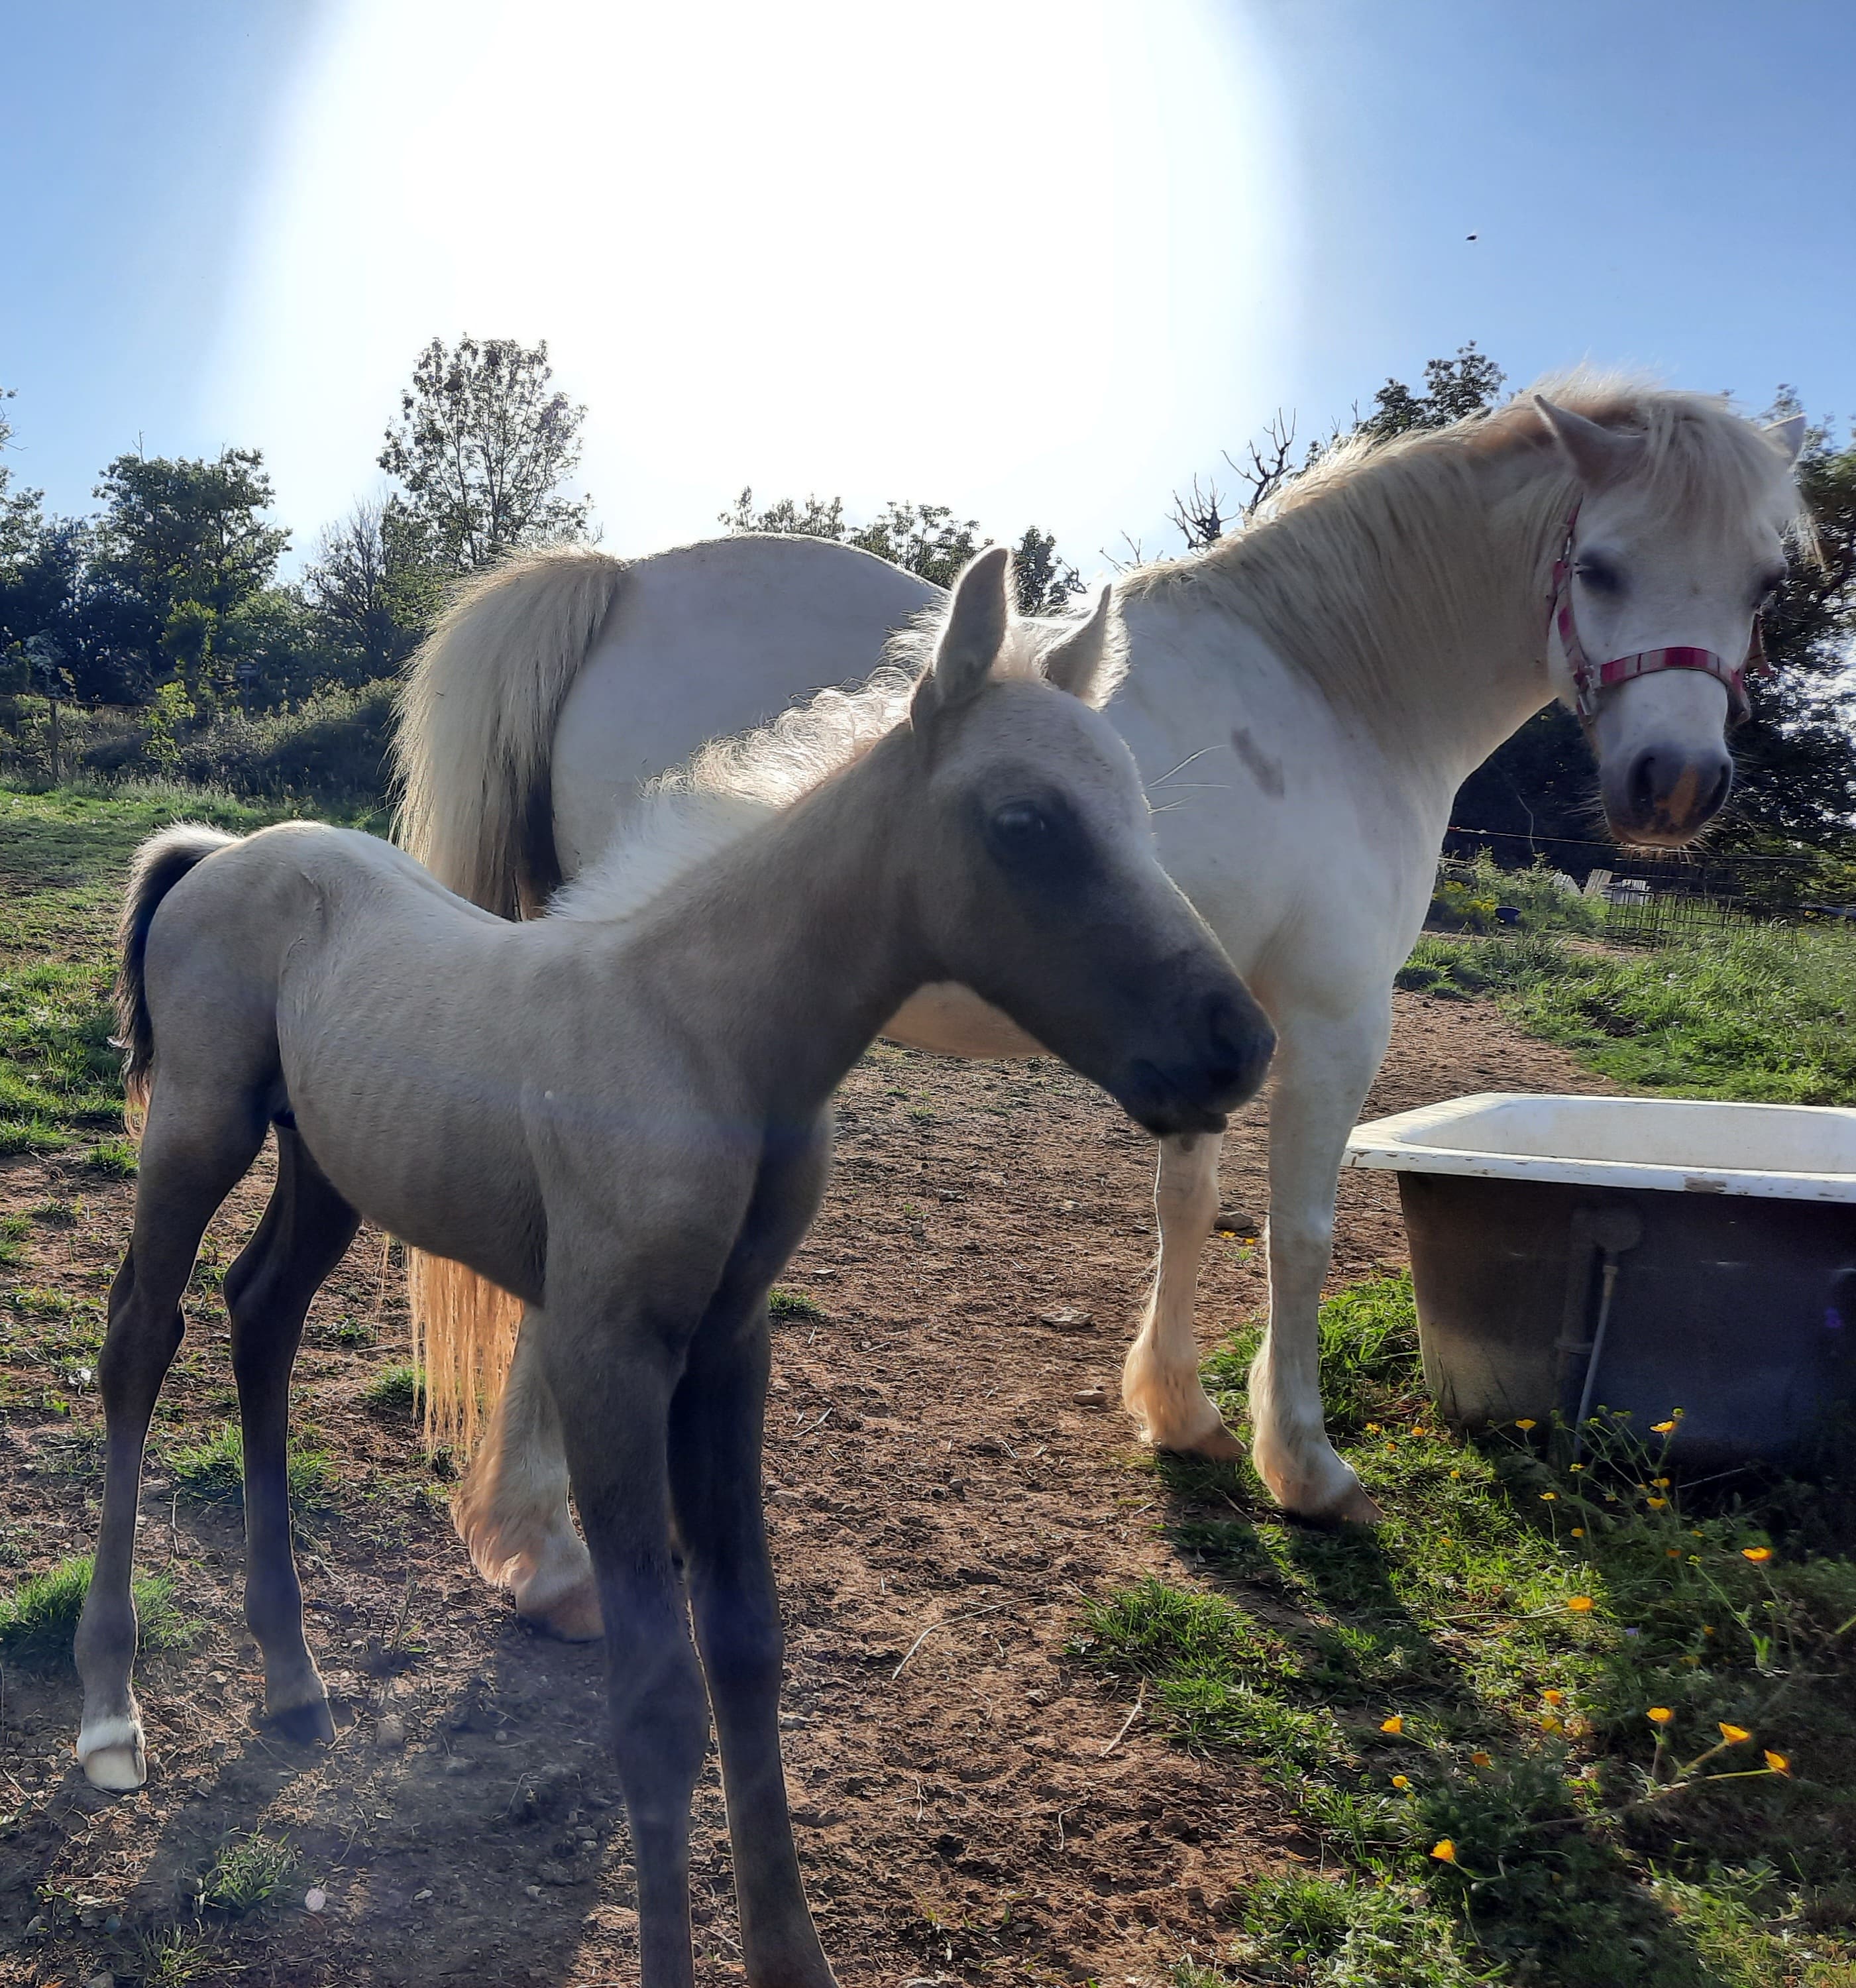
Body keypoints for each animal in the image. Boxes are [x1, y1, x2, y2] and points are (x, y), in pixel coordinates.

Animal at [69, 553, 1264, 1988]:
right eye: (1024, 820)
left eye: (1137, 807)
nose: (1234, 1046)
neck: (699, 1036)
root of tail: (216, 852)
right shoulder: (608, 1354)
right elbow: (651, 1695)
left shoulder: (729, 1344)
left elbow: (744, 1648)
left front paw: (792, 1957)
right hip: (200, 1126)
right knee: (142, 1336)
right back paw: (109, 1714)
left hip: (326, 1165)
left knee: (261, 1316)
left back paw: (295, 1681)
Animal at [391, 376, 1804, 1630]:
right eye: (1602, 567)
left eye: (1764, 581)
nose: (1674, 784)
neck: (1328, 683)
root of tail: (622, 579)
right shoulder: (1334, 1016)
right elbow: (1298, 1234)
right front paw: (1306, 1466)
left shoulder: (1207, 1028)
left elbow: (1188, 1206)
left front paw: (1179, 1415)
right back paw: (545, 1548)